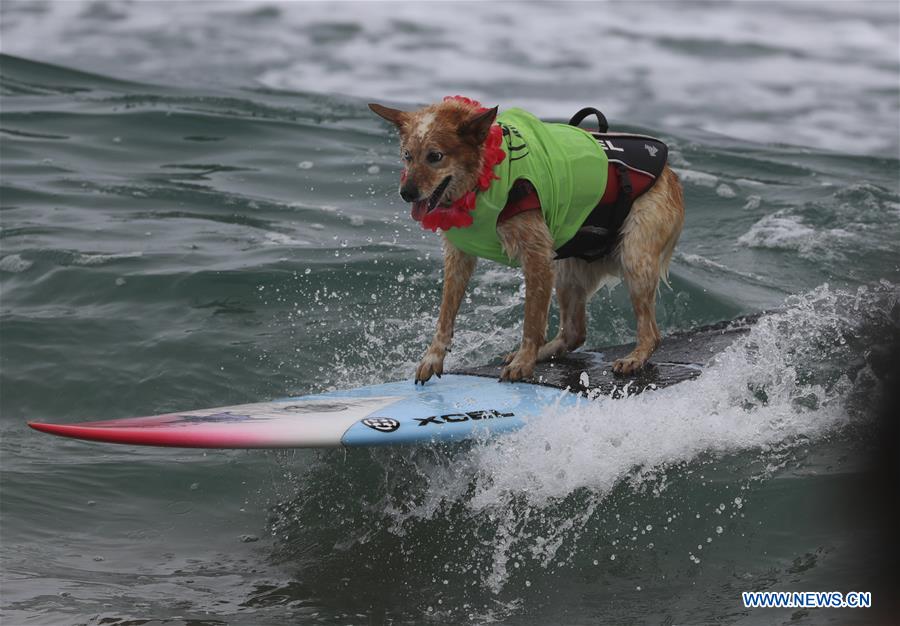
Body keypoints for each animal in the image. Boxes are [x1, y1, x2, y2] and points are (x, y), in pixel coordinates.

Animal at [370, 98, 684, 380]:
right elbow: (445, 315)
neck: (485, 177)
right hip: (567, 268)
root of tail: (670, 174)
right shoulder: (459, 257)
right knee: (575, 332)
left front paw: (524, 361)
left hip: (634, 255)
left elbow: (531, 321)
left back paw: (635, 357)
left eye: (435, 156)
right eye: (407, 155)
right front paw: (433, 357)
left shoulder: (536, 256)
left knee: (651, 332)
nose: (406, 193)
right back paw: (546, 352)